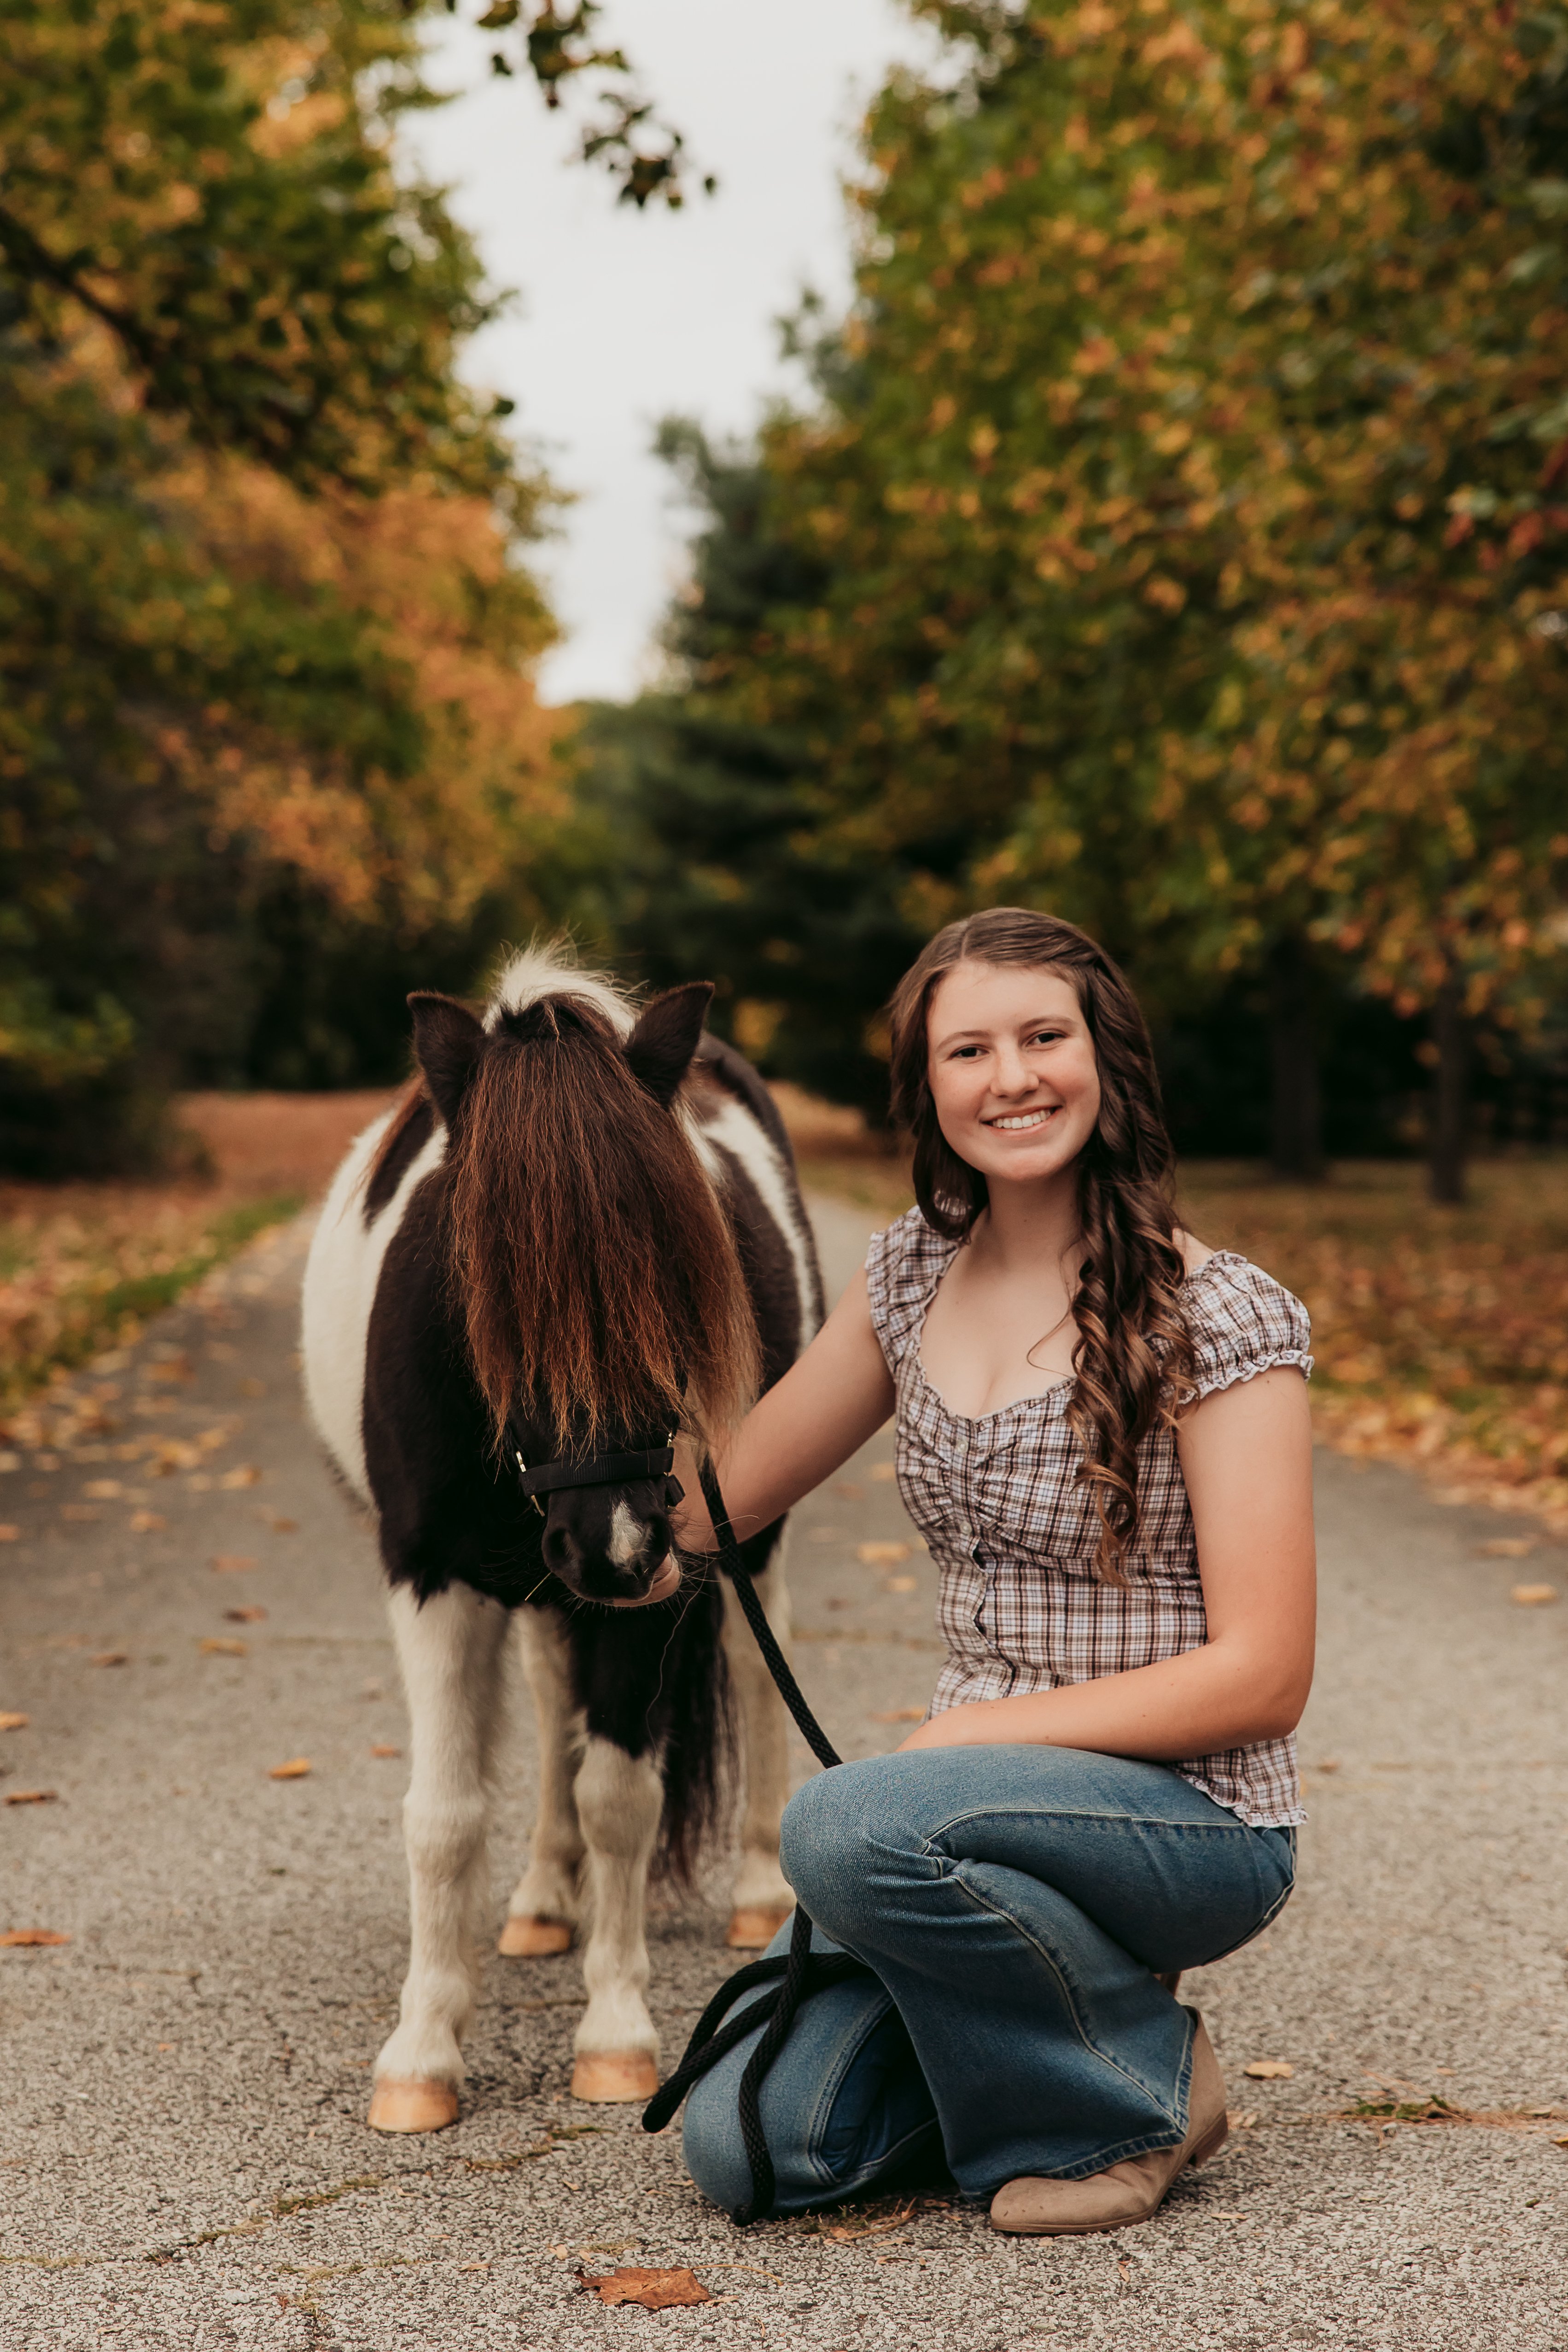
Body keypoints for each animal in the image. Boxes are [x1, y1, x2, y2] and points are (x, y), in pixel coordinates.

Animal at [300, 946, 823, 2133]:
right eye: (484, 1275)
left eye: (675, 1270)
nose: (614, 1543)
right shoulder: (429, 1577)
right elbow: (445, 1815)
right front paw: (421, 2052)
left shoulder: (655, 1582)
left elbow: (621, 1797)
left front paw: (616, 2033)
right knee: (547, 1703)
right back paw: (543, 1894)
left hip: (747, 1547)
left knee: (753, 1671)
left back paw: (757, 1889)